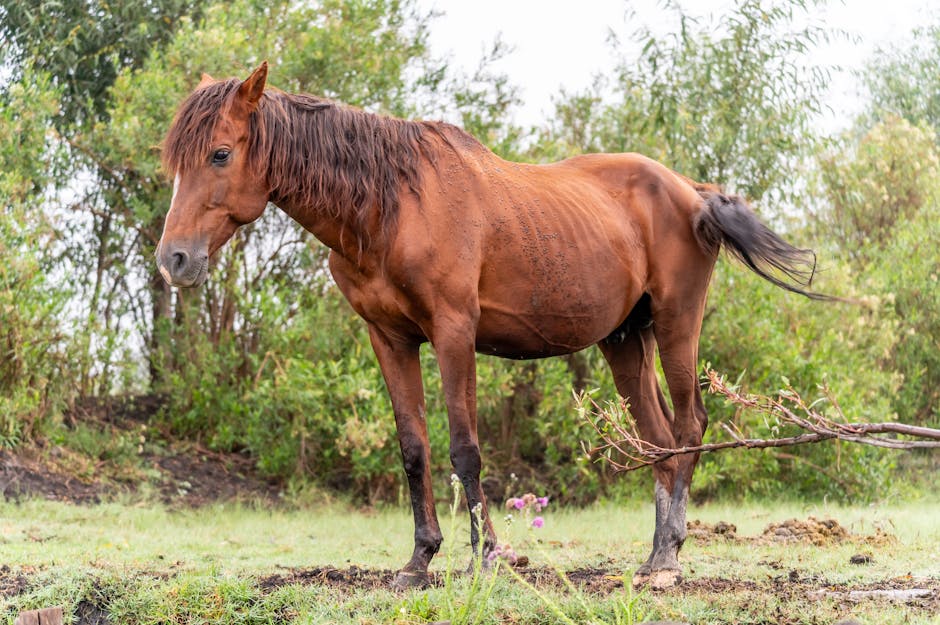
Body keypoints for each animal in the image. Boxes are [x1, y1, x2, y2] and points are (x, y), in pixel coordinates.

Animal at [156, 63, 824, 588]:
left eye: (220, 153)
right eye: (175, 163)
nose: (174, 260)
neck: (391, 205)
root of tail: (691, 190)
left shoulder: (455, 334)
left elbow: (464, 450)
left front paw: (487, 558)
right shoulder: (389, 339)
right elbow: (414, 449)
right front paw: (419, 560)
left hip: (677, 321)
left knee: (689, 425)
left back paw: (667, 561)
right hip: (624, 341)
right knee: (655, 438)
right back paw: (657, 553)